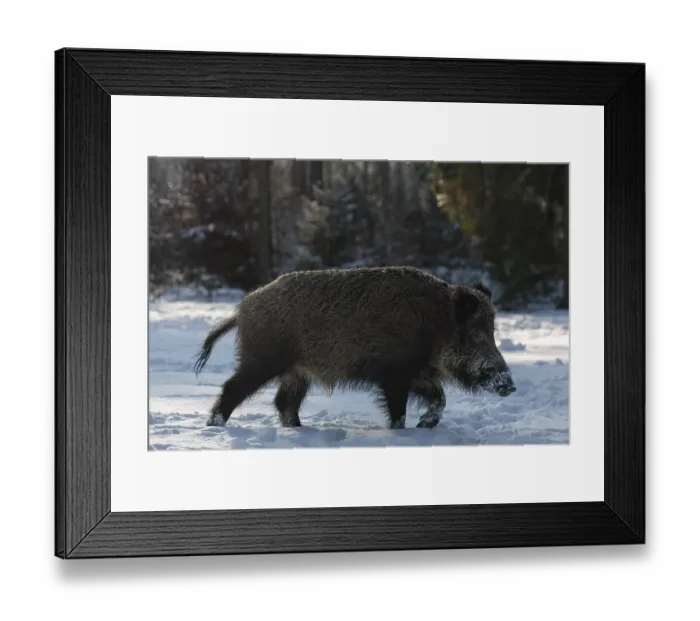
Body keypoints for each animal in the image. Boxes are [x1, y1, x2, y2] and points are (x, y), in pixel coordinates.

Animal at [193, 265, 515, 430]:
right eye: (476, 334)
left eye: (493, 331)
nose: (510, 386)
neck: (434, 325)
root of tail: (241, 309)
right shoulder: (394, 374)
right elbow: (399, 411)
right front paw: (401, 432)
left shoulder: (417, 373)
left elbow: (440, 397)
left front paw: (425, 426)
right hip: (262, 359)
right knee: (233, 388)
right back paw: (214, 425)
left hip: (297, 372)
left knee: (284, 402)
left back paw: (299, 429)